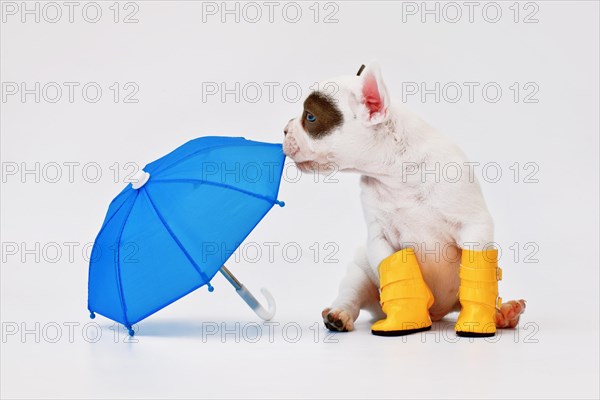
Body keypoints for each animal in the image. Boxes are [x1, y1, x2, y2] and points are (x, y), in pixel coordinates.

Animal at [284, 63, 524, 332]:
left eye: (310, 117)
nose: (285, 129)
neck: (398, 174)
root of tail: (438, 314)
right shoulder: (379, 238)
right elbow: (395, 270)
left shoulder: (474, 226)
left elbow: (476, 274)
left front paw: (480, 318)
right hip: (359, 272)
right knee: (351, 296)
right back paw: (338, 315)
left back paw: (503, 313)